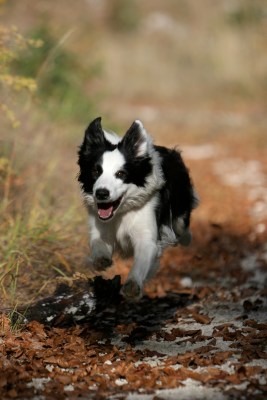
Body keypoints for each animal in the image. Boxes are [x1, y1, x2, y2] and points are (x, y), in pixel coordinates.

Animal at [77, 117, 199, 298]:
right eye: (95, 171)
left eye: (120, 174)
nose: (101, 193)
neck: (121, 212)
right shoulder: (100, 227)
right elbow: (98, 244)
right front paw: (100, 260)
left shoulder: (146, 235)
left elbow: (142, 261)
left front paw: (132, 285)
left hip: (180, 212)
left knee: (182, 227)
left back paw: (185, 237)